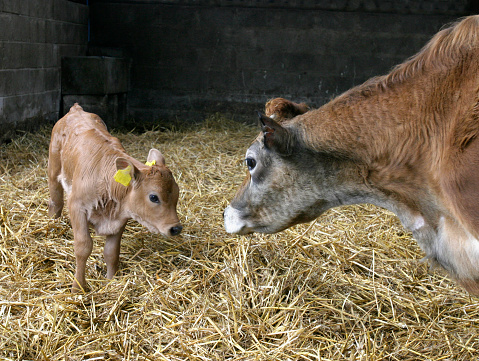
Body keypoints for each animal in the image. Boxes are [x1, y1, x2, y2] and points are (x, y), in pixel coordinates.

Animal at [48, 103, 182, 290]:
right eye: (154, 197)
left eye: (177, 193)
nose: (176, 228)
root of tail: (76, 109)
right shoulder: (77, 205)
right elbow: (83, 247)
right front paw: (78, 286)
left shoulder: (120, 216)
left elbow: (111, 252)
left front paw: (112, 280)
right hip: (53, 170)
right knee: (55, 202)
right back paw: (52, 225)